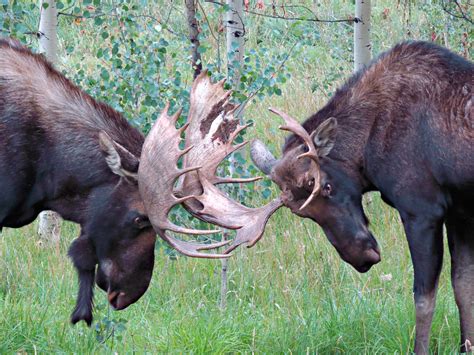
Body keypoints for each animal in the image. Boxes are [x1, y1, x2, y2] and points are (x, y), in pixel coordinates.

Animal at [250, 39, 472, 354]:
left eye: (327, 186)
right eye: (301, 212)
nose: (363, 257)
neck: (368, 145)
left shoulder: (422, 212)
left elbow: (423, 300)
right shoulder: (459, 215)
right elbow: (463, 288)